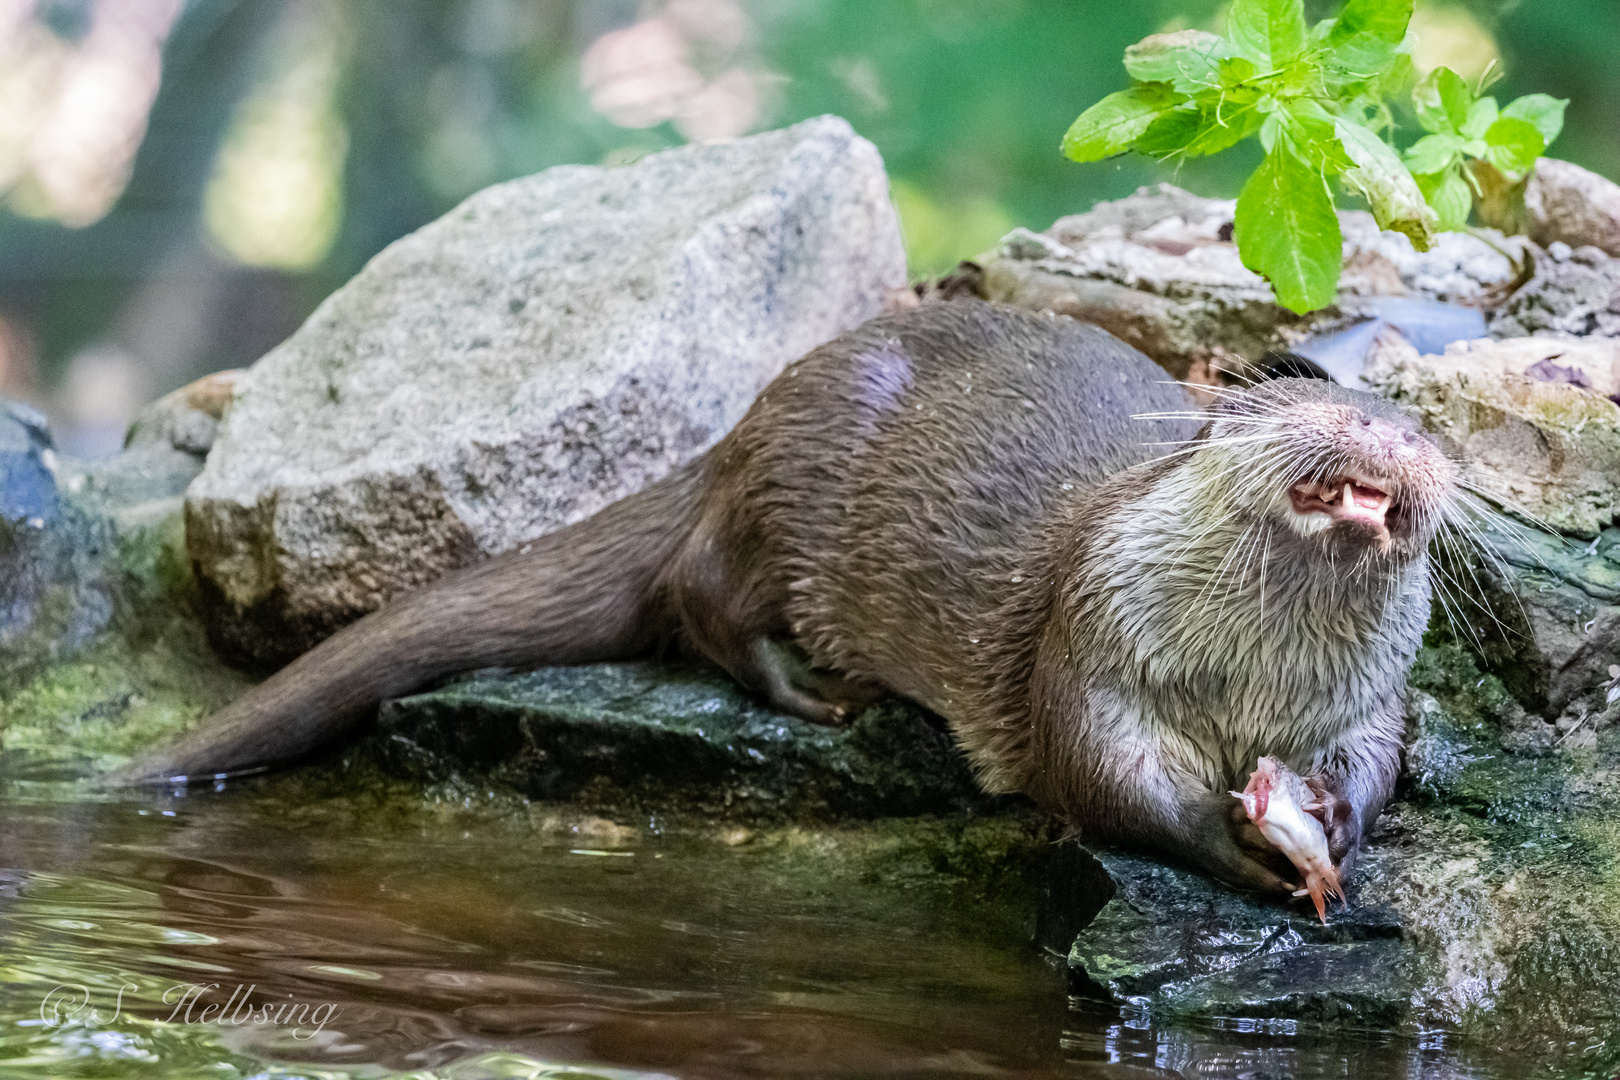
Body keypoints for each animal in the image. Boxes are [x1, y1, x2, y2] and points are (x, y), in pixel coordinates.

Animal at [126, 299, 1458, 893]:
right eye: (1292, 402)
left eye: (1426, 427)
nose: (1385, 432)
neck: (1245, 685)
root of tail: (752, 414)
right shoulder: (1092, 640)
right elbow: (1105, 779)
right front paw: (1234, 848)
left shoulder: (1365, 701)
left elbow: (1379, 759)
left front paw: (1333, 821)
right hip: (794, 492)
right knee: (698, 591)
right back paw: (816, 688)